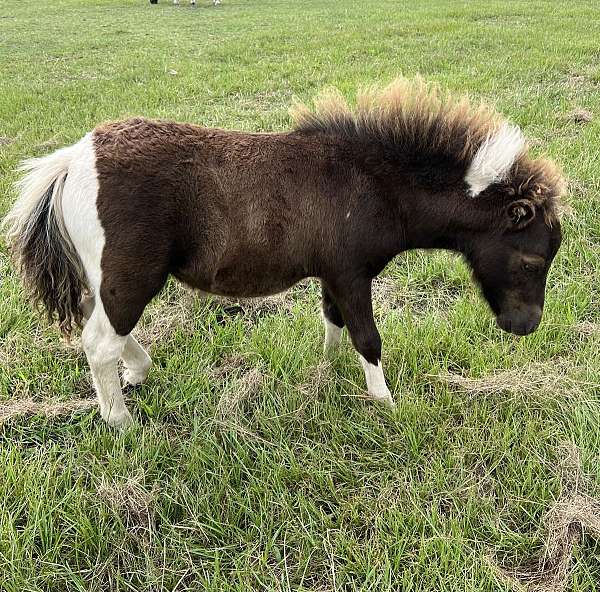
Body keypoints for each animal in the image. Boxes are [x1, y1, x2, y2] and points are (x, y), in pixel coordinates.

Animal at [2, 80, 564, 430]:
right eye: (533, 262)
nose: (525, 326)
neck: (375, 185)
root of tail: (75, 159)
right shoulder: (351, 272)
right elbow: (368, 337)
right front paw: (384, 402)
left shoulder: (334, 275)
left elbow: (334, 323)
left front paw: (327, 373)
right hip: (131, 274)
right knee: (100, 340)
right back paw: (120, 419)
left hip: (109, 277)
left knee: (101, 324)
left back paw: (138, 372)